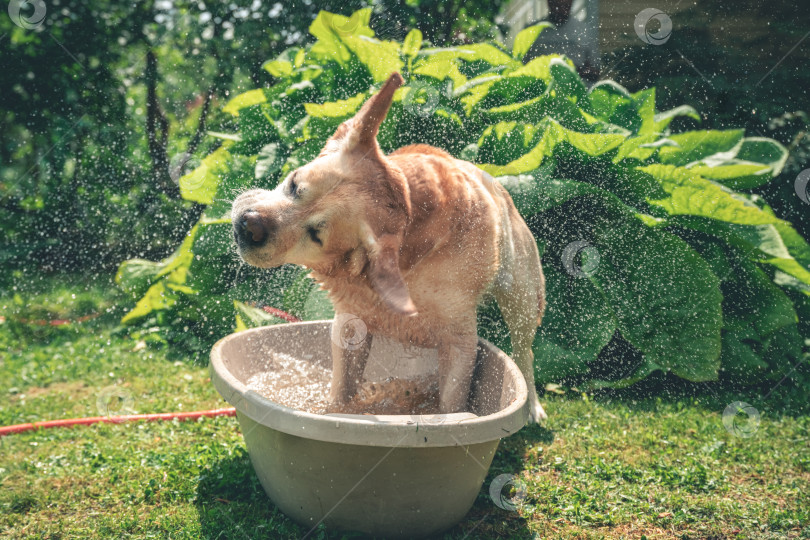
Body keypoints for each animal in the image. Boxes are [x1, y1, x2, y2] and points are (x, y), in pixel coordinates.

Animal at [230, 73, 548, 422]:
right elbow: (342, 392)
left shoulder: (460, 341)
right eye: (293, 184)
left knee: (525, 352)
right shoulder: (350, 324)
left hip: (522, 297)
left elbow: (451, 405)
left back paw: (532, 407)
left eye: (315, 234)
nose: (249, 226)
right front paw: (335, 414)